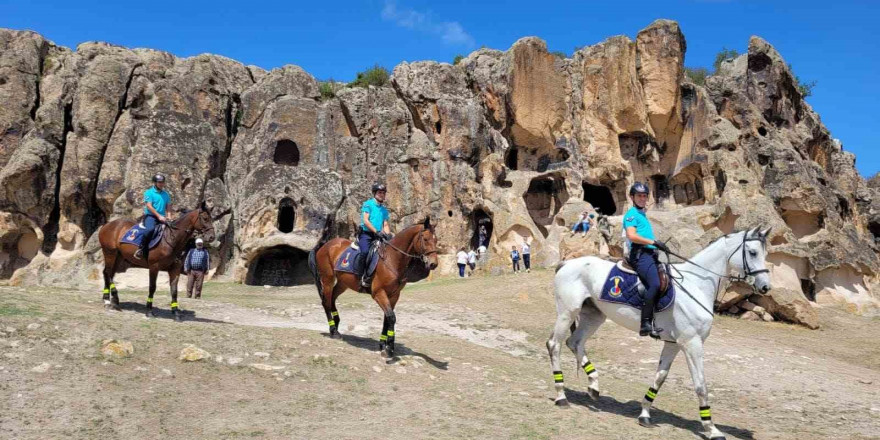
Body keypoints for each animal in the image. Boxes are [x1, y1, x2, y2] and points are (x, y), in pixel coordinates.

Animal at [310, 217, 440, 358]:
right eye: (425, 239)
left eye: (436, 240)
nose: (433, 264)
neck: (392, 259)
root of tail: (326, 244)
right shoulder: (379, 293)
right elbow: (391, 317)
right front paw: (389, 349)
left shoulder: (394, 295)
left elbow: (387, 319)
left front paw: (383, 344)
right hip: (327, 279)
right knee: (326, 302)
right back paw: (333, 331)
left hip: (343, 283)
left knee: (332, 299)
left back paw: (337, 325)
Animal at [548, 227, 772, 440]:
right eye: (752, 252)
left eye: (765, 253)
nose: (765, 287)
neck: (696, 285)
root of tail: (566, 264)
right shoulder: (692, 344)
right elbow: (701, 386)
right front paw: (712, 429)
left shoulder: (673, 344)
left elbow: (660, 377)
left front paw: (644, 415)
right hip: (567, 313)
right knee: (554, 345)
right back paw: (561, 396)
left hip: (593, 316)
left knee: (575, 343)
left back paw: (594, 386)